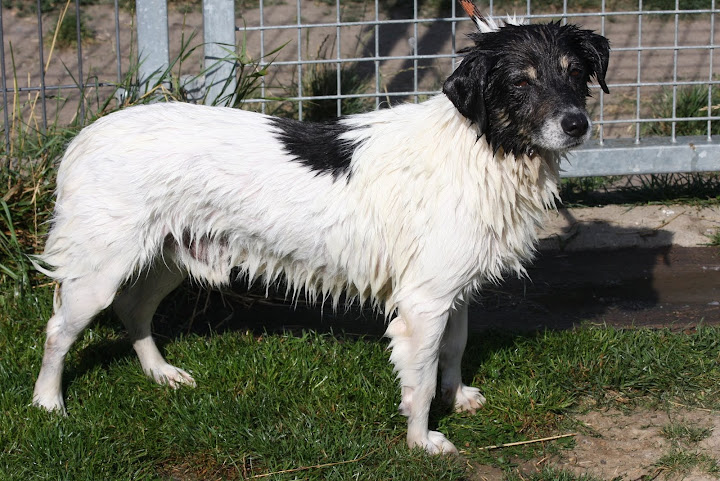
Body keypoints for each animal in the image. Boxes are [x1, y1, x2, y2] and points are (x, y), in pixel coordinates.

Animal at [32, 0, 609, 454]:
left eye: (575, 73)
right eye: (519, 83)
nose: (576, 124)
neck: (483, 147)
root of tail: (81, 139)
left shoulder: (454, 289)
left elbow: (455, 348)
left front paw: (458, 396)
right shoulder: (423, 304)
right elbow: (420, 381)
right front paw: (422, 442)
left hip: (172, 257)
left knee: (135, 310)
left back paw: (161, 373)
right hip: (98, 270)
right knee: (58, 330)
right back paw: (48, 403)